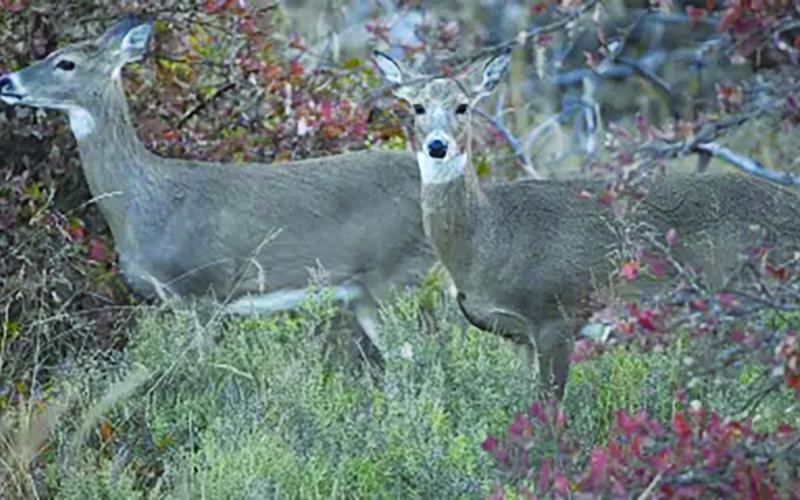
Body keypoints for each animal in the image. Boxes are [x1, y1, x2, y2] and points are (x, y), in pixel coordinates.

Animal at [0, 17, 435, 358]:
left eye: (66, 63)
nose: (7, 79)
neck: (145, 204)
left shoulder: (202, 288)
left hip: (397, 272)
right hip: (367, 292)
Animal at [374, 49, 800, 398]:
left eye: (463, 106)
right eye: (417, 107)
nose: (437, 145)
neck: (488, 238)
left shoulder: (557, 315)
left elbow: (550, 411)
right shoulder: (517, 336)